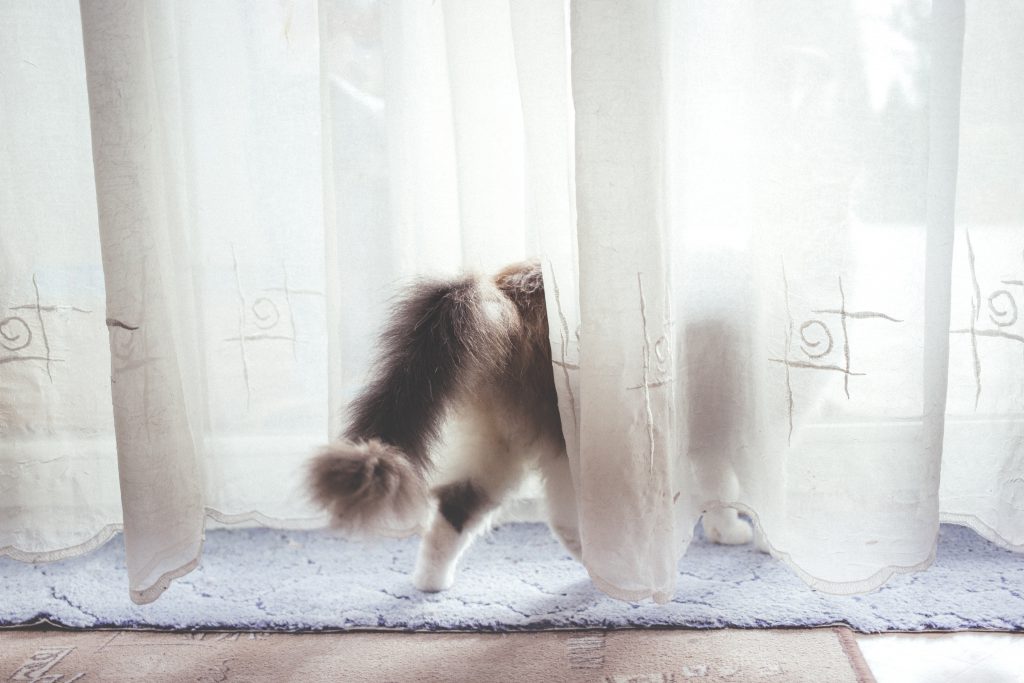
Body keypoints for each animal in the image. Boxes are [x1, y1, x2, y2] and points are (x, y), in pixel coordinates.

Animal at [305, 262, 753, 593]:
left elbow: (718, 488)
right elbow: (732, 487)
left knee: (457, 506)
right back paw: (620, 576)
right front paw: (747, 536)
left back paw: (431, 584)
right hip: (580, 435)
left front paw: (724, 531)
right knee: (565, 516)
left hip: (496, 442)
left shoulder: (709, 432)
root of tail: (500, 288)